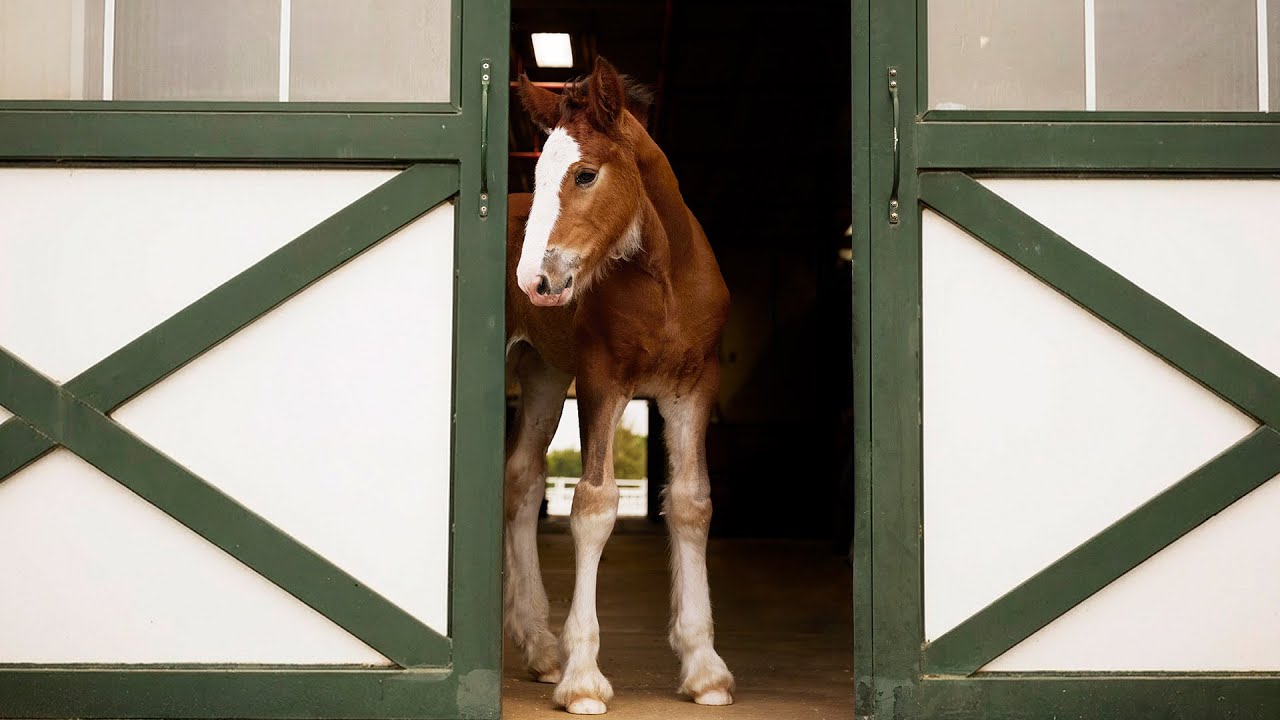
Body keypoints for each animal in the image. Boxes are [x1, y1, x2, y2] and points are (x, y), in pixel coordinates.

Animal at [503, 57, 735, 715]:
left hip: (545, 372)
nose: (534, 281)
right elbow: (593, 504)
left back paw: (540, 648)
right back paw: (548, 650)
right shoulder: (602, 380)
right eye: (539, 171)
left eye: (585, 174)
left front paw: (705, 669)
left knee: (523, 479)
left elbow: (691, 504)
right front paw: (584, 678)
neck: (664, 279)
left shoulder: (692, 387)